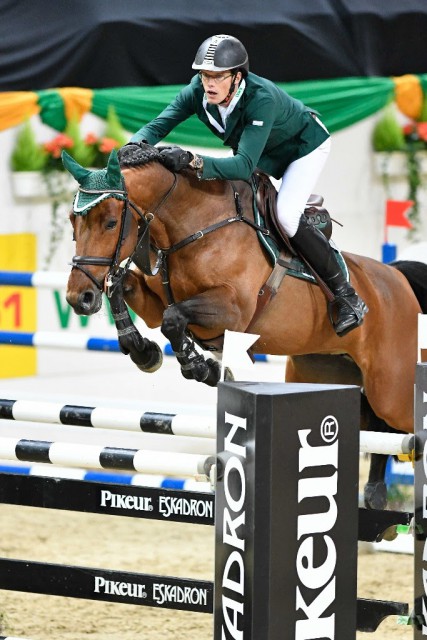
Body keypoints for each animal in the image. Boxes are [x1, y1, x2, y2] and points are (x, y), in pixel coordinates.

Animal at [62, 145, 427, 510]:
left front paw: (201, 367)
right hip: (324, 372)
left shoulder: (232, 311)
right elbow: (122, 290)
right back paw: (375, 493)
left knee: (401, 426)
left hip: (390, 389)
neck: (193, 226)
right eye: (73, 222)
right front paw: (143, 351)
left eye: (111, 223)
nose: (78, 299)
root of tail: (398, 277)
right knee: (377, 428)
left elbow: (173, 318)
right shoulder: (153, 302)